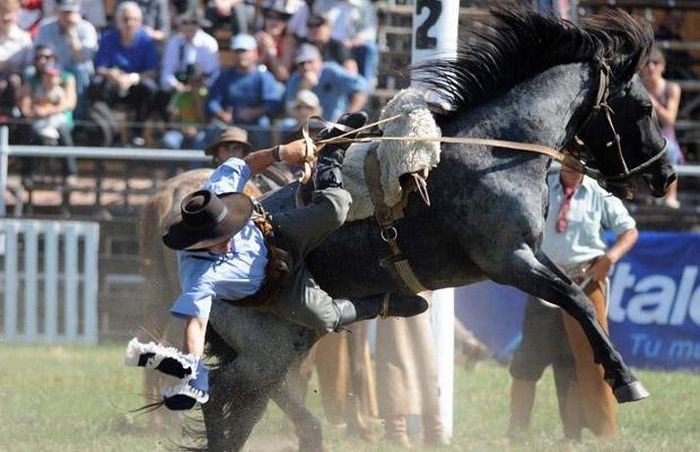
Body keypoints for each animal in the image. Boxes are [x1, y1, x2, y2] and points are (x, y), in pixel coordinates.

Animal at [180, 7, 672, 452]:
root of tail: (203, 274)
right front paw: (625, 380)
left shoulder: (531, 252)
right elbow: (577, 300)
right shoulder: (510, 261)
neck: (498, 152)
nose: (664, 175)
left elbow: (572, 294)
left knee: (246, 400)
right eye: (644, 106)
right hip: (269, 349)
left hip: (286, 343)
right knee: (221, 394)